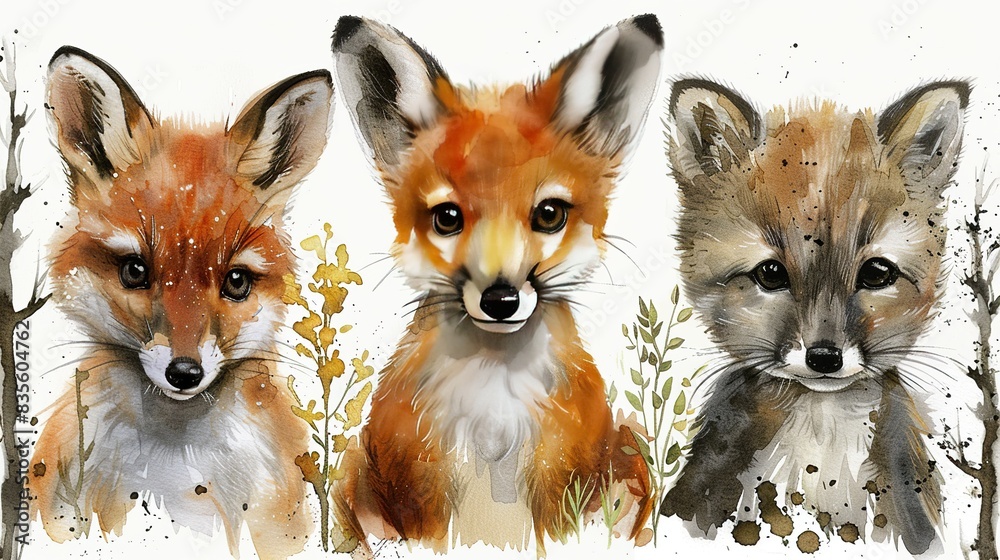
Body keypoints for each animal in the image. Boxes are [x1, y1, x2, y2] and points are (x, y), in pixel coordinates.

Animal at [329, 14, 663, 553]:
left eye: (548, 214)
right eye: (447, 218)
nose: (501, 299)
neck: (494, 415)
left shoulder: (562, 493)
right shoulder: (420, 498)